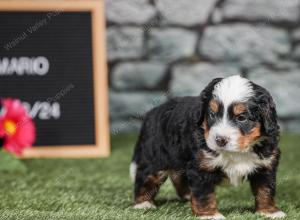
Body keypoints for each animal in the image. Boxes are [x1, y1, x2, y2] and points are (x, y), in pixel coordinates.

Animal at [129, 75, 286, 219]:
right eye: (212, 114)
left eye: (241, 117)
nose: (220, 140)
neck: (237, 152)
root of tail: (152, 112)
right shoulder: (201, 165)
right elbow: (204, 194)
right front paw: (209, 215)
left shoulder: (266, 164)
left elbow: (265, 189)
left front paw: (270, 211)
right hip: (156, 158)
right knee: (145, 177)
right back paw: (143, 203)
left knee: (178, 176)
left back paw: (188, 196)